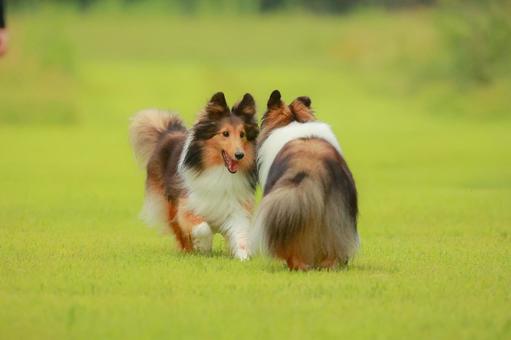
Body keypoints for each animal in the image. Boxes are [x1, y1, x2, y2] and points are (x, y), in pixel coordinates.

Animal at [130, 91, 260, 258]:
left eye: (242, 134)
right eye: (225, 133)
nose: (239, 155)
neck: (219, 170)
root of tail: (167, 132)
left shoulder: (237, 207)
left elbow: (240, 236)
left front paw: (243, 257)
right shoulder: (187, 205)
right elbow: (203, 228)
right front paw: (204, 247)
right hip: (170, 204)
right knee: (180, 233)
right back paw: (189, 251)